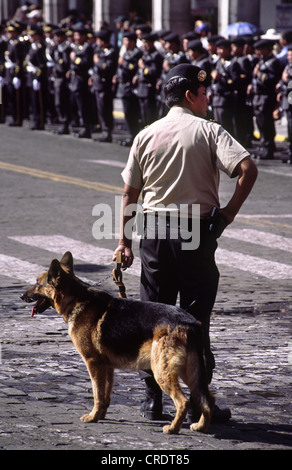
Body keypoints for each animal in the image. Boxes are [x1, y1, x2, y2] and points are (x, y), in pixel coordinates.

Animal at [21, 252, 214, 436]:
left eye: (37, 283)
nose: (21, 296)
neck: (76, 299)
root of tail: (192, 322)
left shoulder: (93, 364)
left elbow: (97, 394)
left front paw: (92, 417)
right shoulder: (107, 367)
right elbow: (105, 396)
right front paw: (100, 415)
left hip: (162, 371)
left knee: (184, 401)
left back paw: (173, 428)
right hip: (190, 373)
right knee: (207, 399)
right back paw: (201, 426)